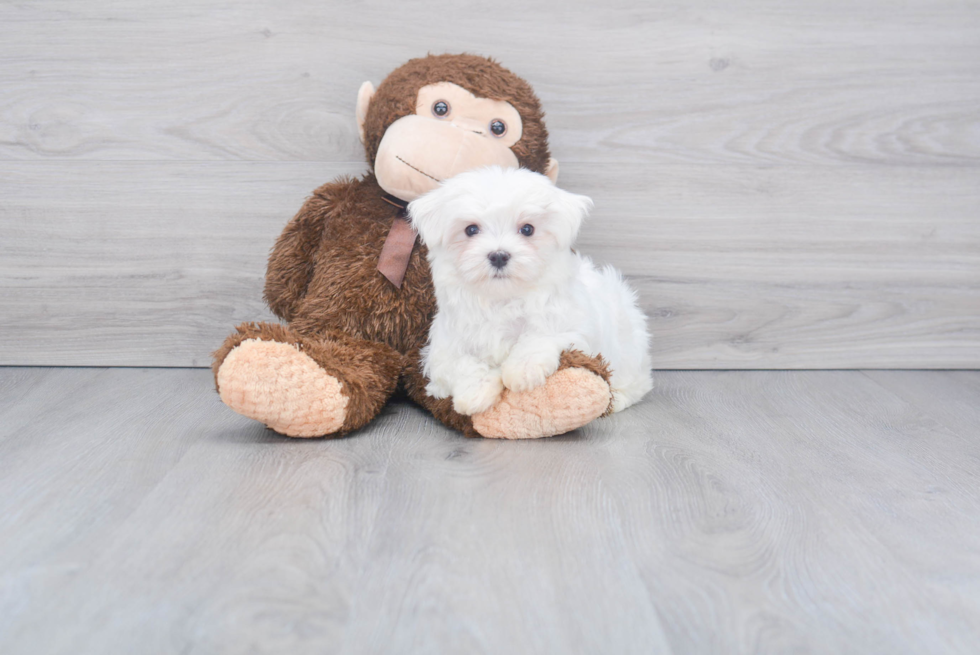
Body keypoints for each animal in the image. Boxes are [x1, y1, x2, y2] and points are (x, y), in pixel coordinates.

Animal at [406, 167, 652, 418]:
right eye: (471, 229)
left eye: (527, 229)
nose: (499, 256)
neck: (502, 300)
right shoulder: (443, 347)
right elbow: (460, 363)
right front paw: (474, 392)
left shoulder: (574, 327)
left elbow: (541, 337)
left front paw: (521, 370)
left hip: (628, 344)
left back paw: (618, 398)